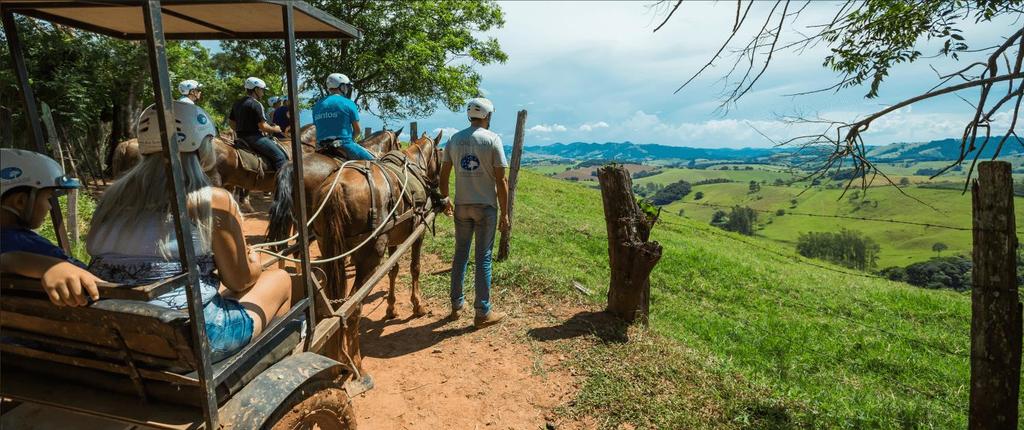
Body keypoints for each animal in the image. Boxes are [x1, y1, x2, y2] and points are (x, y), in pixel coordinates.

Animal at [266, 130, 442, 378]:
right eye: (439, 153)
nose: (436, 184)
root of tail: (337, 186)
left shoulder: (395, 238)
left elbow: (394, 271)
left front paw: (391, 308)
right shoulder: (417, 232)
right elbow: (414, 268)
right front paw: (417, 306)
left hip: (327, 245)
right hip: (369, 255)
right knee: (354, 305)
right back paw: (356, 364)